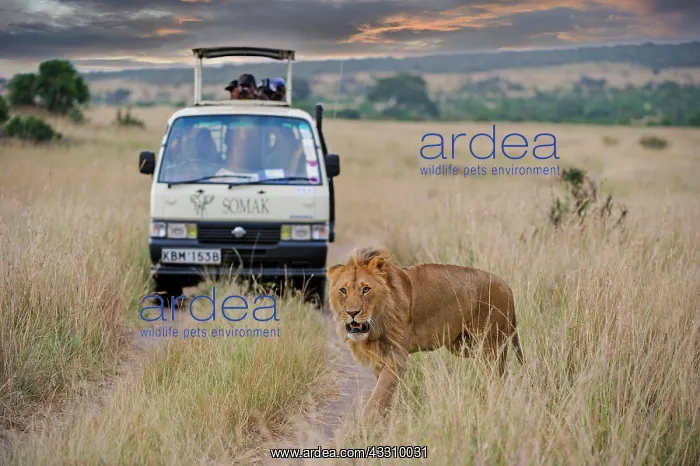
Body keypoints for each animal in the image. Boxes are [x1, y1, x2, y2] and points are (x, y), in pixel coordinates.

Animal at [327, 247, 524, 424]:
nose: (352, 313)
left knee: (496, 379)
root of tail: (506, 285)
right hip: (466, 347)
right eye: (343, 290)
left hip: (490, 346)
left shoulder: (396, 358)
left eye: (366, 289)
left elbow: (376, 399)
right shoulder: (380, 359)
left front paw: (361, 431)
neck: (376, 324)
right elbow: (386, 399)